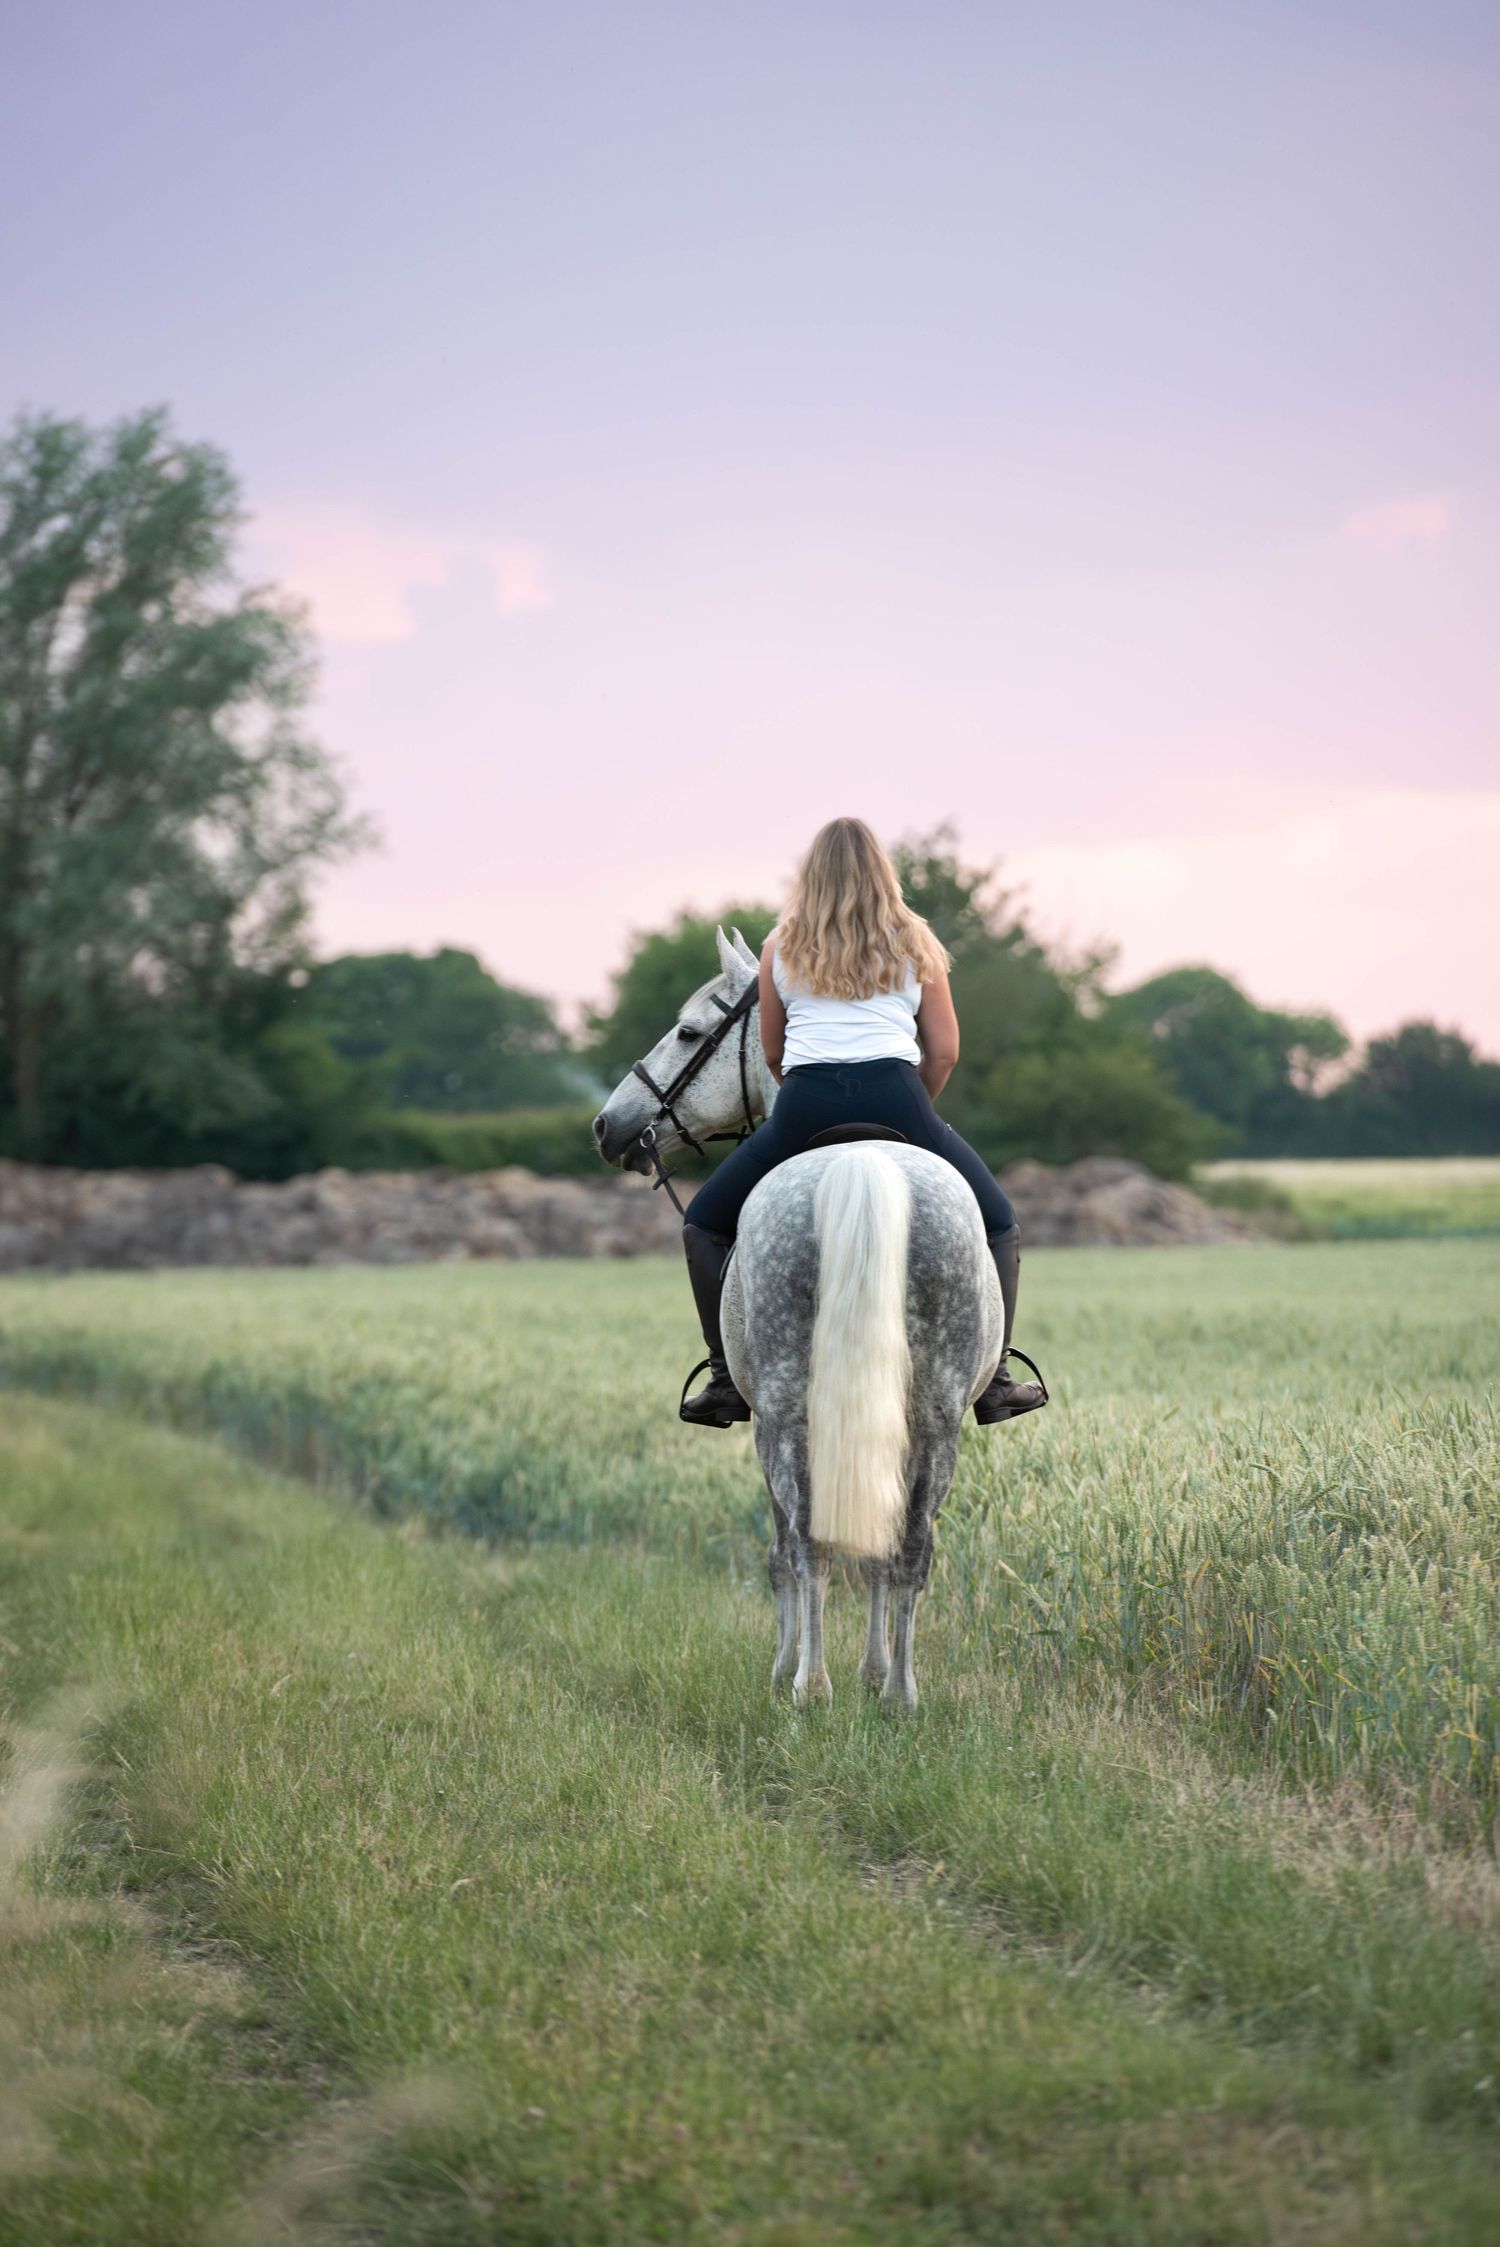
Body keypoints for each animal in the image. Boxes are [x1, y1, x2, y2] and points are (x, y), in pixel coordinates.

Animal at [593, 927, 1002, 1708]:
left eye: (688, 1031)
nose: (609, 1125)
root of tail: (861, 1166)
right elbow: (874, 1546)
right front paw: (874, 1670)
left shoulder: (765, 1423)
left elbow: (784, 1550)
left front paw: (786, 1666)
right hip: (934, 1415)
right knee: (906, 1546)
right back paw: (899, 1694)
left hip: (785, 1413)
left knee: (808, 1540)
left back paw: (809, 1686)